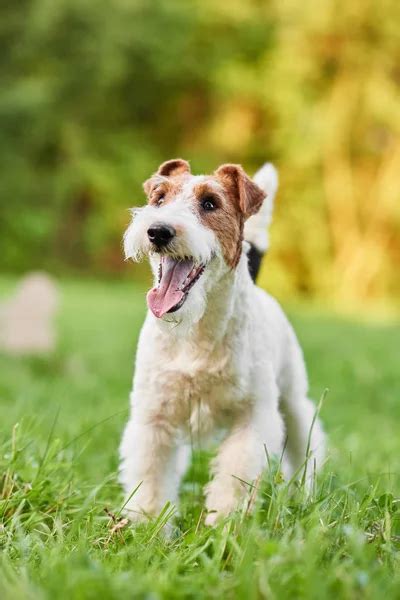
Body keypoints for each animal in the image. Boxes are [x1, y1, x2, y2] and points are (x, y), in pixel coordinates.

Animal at [119, 158, 324, 524]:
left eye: (210, 204)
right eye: (159, 197)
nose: (158, 231)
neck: (195, 332)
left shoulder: (252, 416)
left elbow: (234, 476)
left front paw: (224, 525)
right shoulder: (153, 415)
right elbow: (151, 477)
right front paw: (146, 524)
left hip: (292, 398)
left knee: (307, 446)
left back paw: (304, 494)